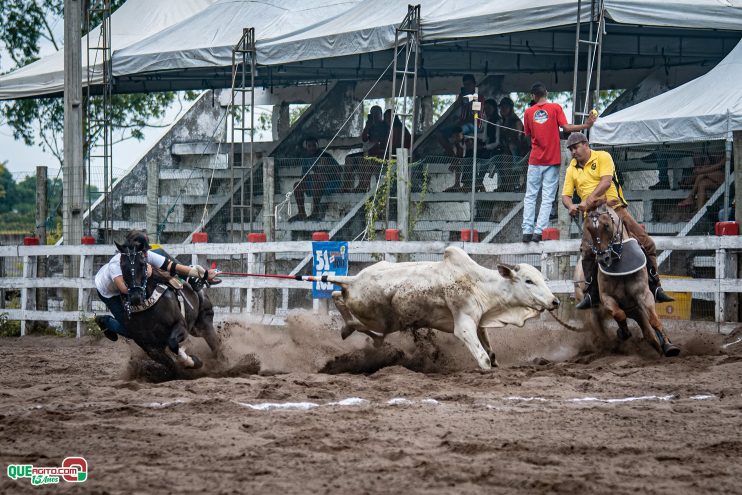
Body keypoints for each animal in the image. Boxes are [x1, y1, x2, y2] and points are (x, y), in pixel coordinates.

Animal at [115, 242, 222, 374]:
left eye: (142, 263)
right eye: (122, 265)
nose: (135, 296)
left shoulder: (181, 325)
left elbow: (173, 343)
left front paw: (193, 361)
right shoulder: (148, 346)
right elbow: (169, 361)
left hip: (204, 322)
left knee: (214, 342)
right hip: (195, 328)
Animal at [328, 246, 560, 370]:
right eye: (529, 280)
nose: (554, 301)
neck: (480, 284)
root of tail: (354, 279)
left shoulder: (479, 323)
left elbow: (490, 351)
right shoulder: (464, 325)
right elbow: (483, 358)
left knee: (337, 296)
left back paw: (351, 329)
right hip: (376, 317)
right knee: (344, 305)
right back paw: (357, 331)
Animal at [580, 202, 684, 356]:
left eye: (606, 225)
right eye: (589, 229)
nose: (603, 259)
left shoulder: (644, 294)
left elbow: (654, 320)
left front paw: (670, 346)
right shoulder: (606, 298)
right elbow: (619, 314)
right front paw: (623, 332)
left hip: (638, 310)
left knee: (650, 334)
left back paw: (665, 347)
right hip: (630, 312)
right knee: (645, 333)